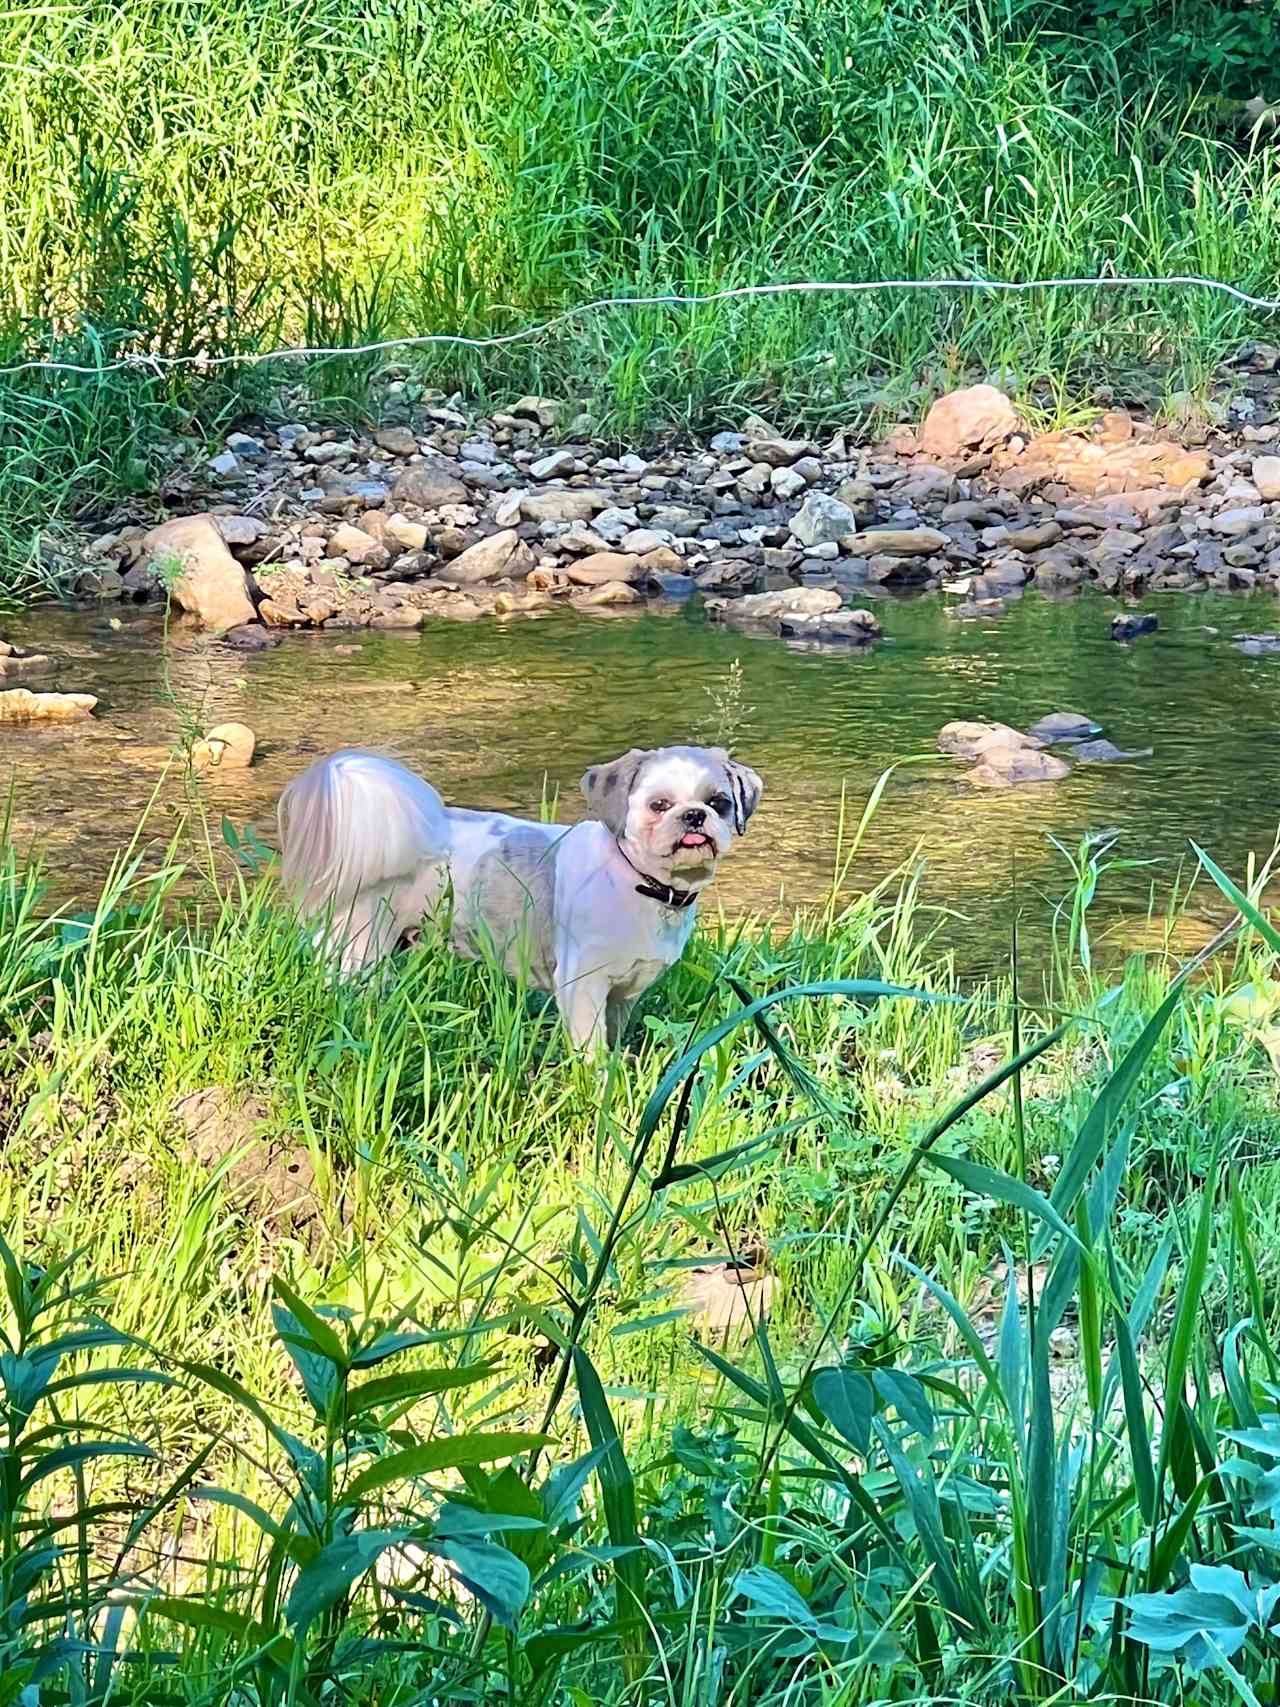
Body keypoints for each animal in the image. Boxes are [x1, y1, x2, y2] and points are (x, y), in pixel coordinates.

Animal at [279, 751, 761, 1051]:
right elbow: (591, 1052)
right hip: (358, 946)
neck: (637, 882)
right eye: (659, 805)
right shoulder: (583, 986)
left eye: (719, 802)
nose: (694, 816)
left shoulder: (623, 995)